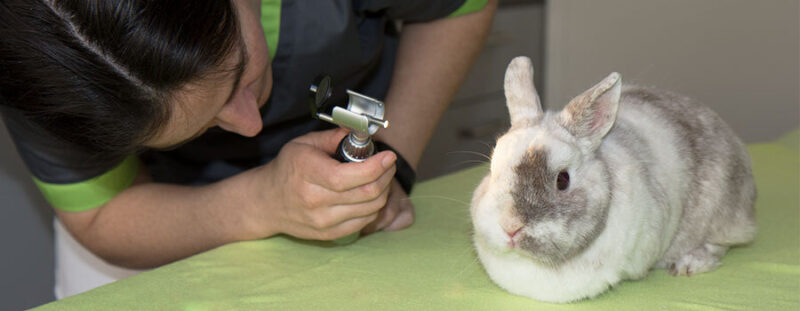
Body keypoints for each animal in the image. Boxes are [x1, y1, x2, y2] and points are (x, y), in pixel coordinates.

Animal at [472, 56, 760, 304]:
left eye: (562, 179)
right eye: (493, 168)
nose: (510, 226)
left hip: (721, 211)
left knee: (720, 244)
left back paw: (688, 264)